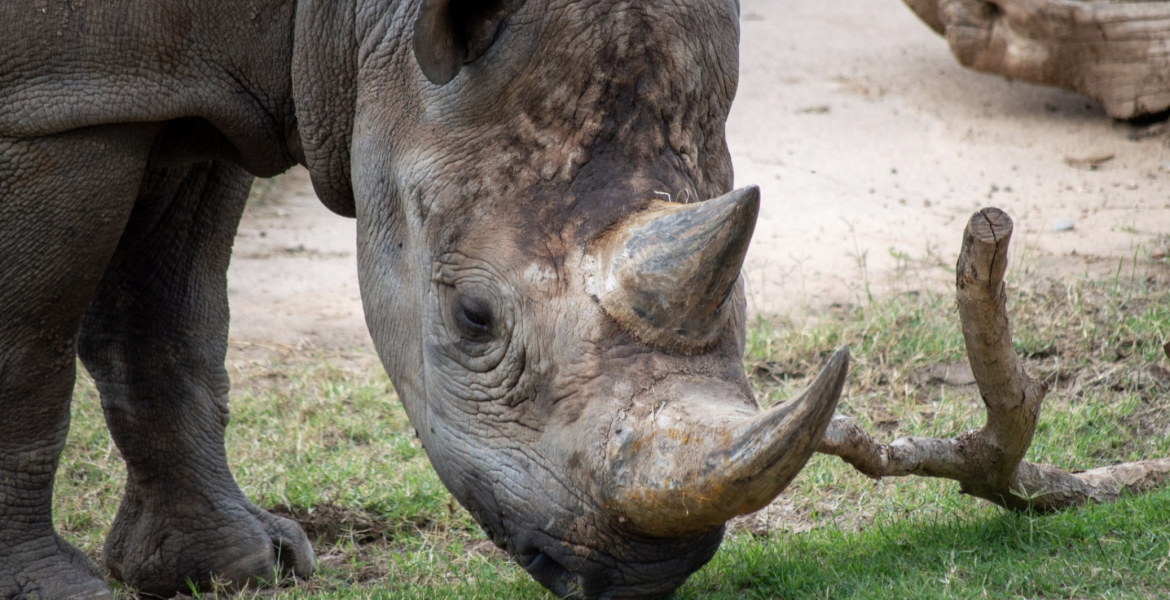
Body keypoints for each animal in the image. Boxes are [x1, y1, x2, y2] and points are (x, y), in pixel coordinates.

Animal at [0, 1, 848, 598]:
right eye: (474, 319)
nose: (647, 573)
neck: (359, 19)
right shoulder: (56, 103)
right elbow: (29, 346)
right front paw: (55, 591)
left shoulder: (183, 93)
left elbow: (168, 326)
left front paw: (236, 567)